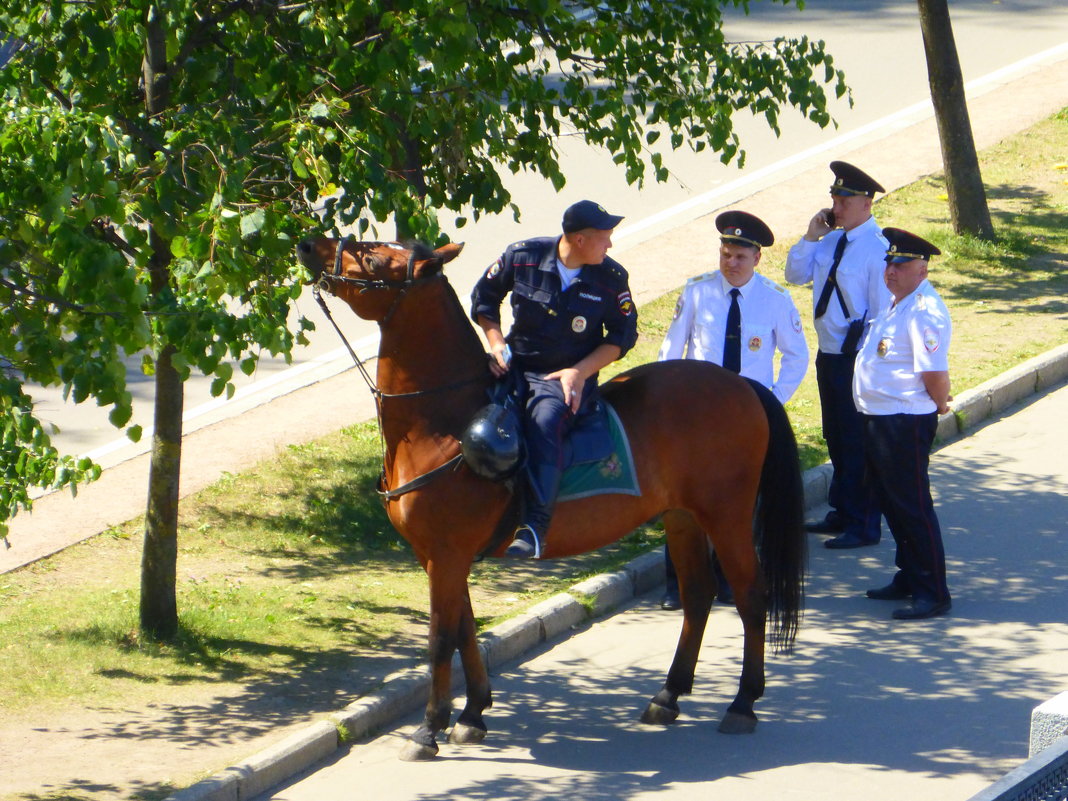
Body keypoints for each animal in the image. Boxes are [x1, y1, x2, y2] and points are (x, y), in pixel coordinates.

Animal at [296, 234, 803, 760]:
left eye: (375, 258)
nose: (309, 245)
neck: (438, 422)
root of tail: (742, 383)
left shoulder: (447, 554)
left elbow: (440, 638)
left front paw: (429, 728)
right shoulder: (438, 557)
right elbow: (466, 627)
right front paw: (472, 713)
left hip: (727, 516)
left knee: (750, 595)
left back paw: (743, 702)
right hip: (682, 517)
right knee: (699, 595)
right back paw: (668, 695)